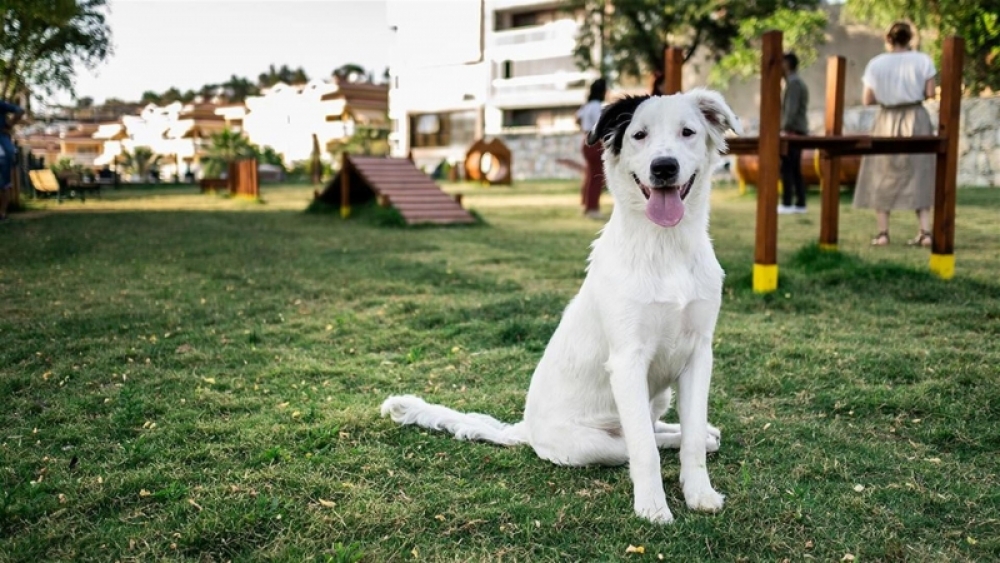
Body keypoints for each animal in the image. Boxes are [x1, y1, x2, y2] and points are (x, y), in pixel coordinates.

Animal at [382, 89, 744, 524]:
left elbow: (689, 437)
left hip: (657, 398)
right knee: (640, 441)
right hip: (597, 441)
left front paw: (700, 493)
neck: (665, 247)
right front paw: (653, 508)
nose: (663, 167)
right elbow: (645, 450)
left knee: (669, 433)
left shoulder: (699, 354)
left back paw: (705, 436)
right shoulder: (627, 360)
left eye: (687, 132)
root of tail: (525, 429)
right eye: (639, 135)